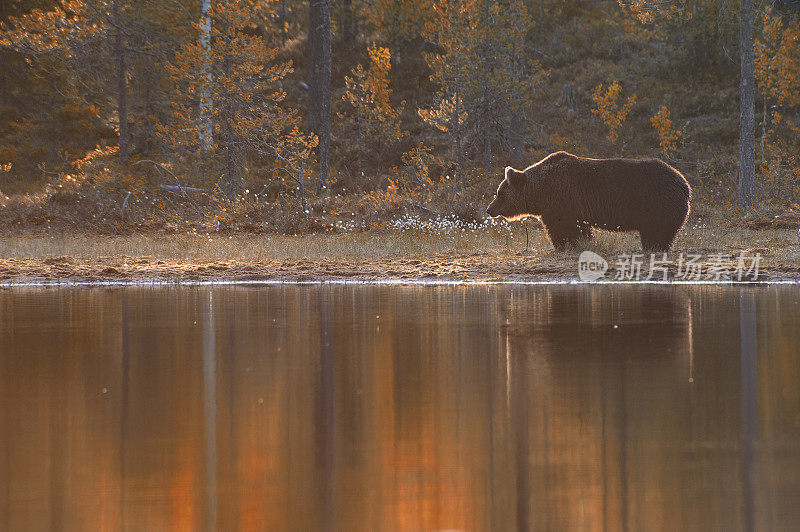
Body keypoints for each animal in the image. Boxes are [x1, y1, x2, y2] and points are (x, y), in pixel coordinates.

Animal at [484, 150, 692, 249]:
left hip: (657, 202)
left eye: (500, 193)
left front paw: (565, 246)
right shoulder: (573, 207)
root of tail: (685, 184)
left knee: (657, 231)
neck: (540, 191)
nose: (489, 209)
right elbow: (578, 229)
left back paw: (654, 248)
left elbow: (563, 228)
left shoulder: (562, 199)